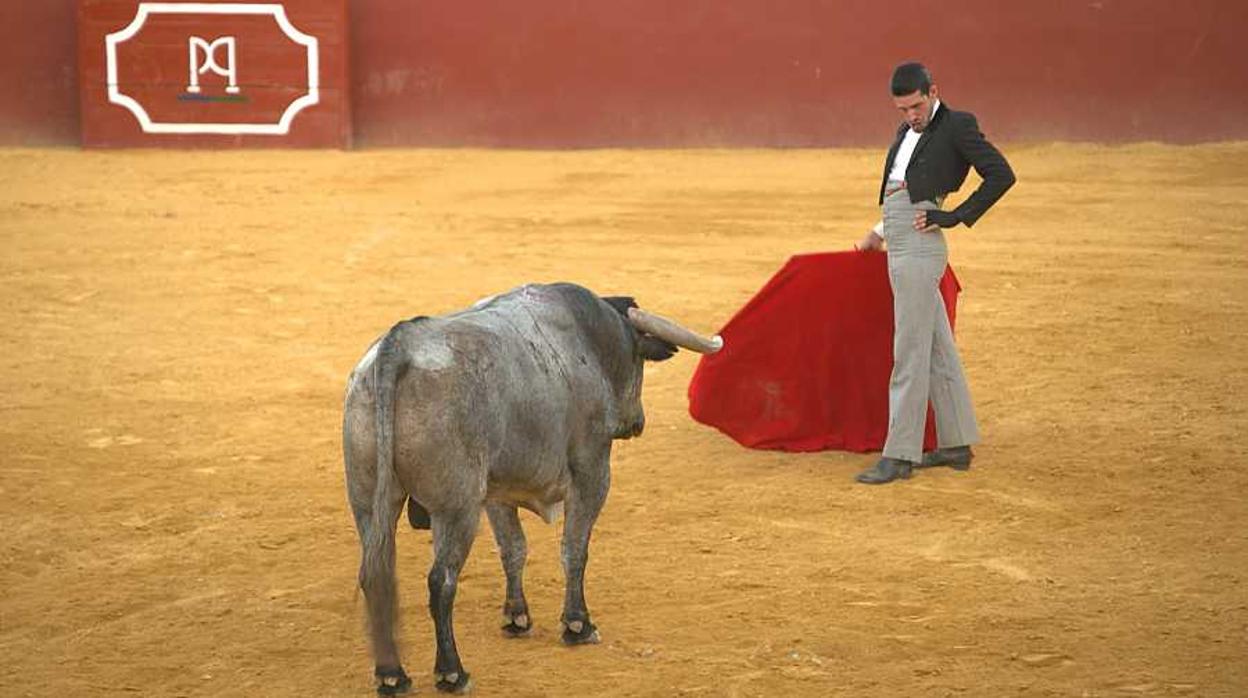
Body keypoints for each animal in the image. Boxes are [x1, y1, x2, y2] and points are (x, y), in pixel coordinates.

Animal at [344, 282, 723, 694]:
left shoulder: (496, 493)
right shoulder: (592, 472)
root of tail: (397, 347)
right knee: (441, 581)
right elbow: (574, 549)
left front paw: (516, 617)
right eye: (637, 358)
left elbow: (513, 549)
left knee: (376, 575)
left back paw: (392, 674)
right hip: (456, 509)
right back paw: (451, 671)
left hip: (369, 502)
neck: (592, 338)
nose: (637, 423)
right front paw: (577, 624)